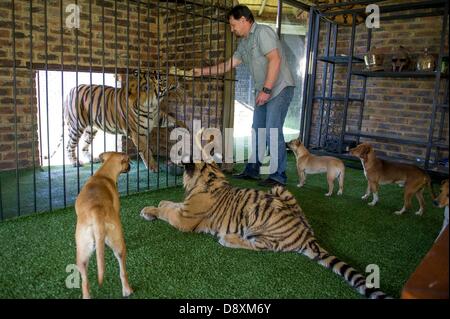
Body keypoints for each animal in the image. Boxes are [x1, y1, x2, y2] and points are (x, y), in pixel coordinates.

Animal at [74, 152, 133, 300]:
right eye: (128, 161)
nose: (130, 167)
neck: (103, 174)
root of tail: (96, 211)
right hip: (118, 244)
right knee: (122, 270)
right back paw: (127, 290)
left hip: (82, 252)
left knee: (84, 281)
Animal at [142, 131, 390, 300]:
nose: (170, 158)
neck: (207, 176)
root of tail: (308, 235)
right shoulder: (184, 208)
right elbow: (170, 204)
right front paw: (157, 204)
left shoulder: (184, 219)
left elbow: (167, 211)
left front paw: (149, 210)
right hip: (279, 192)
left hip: (260, 219)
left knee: (260, 246)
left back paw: (227, 239)